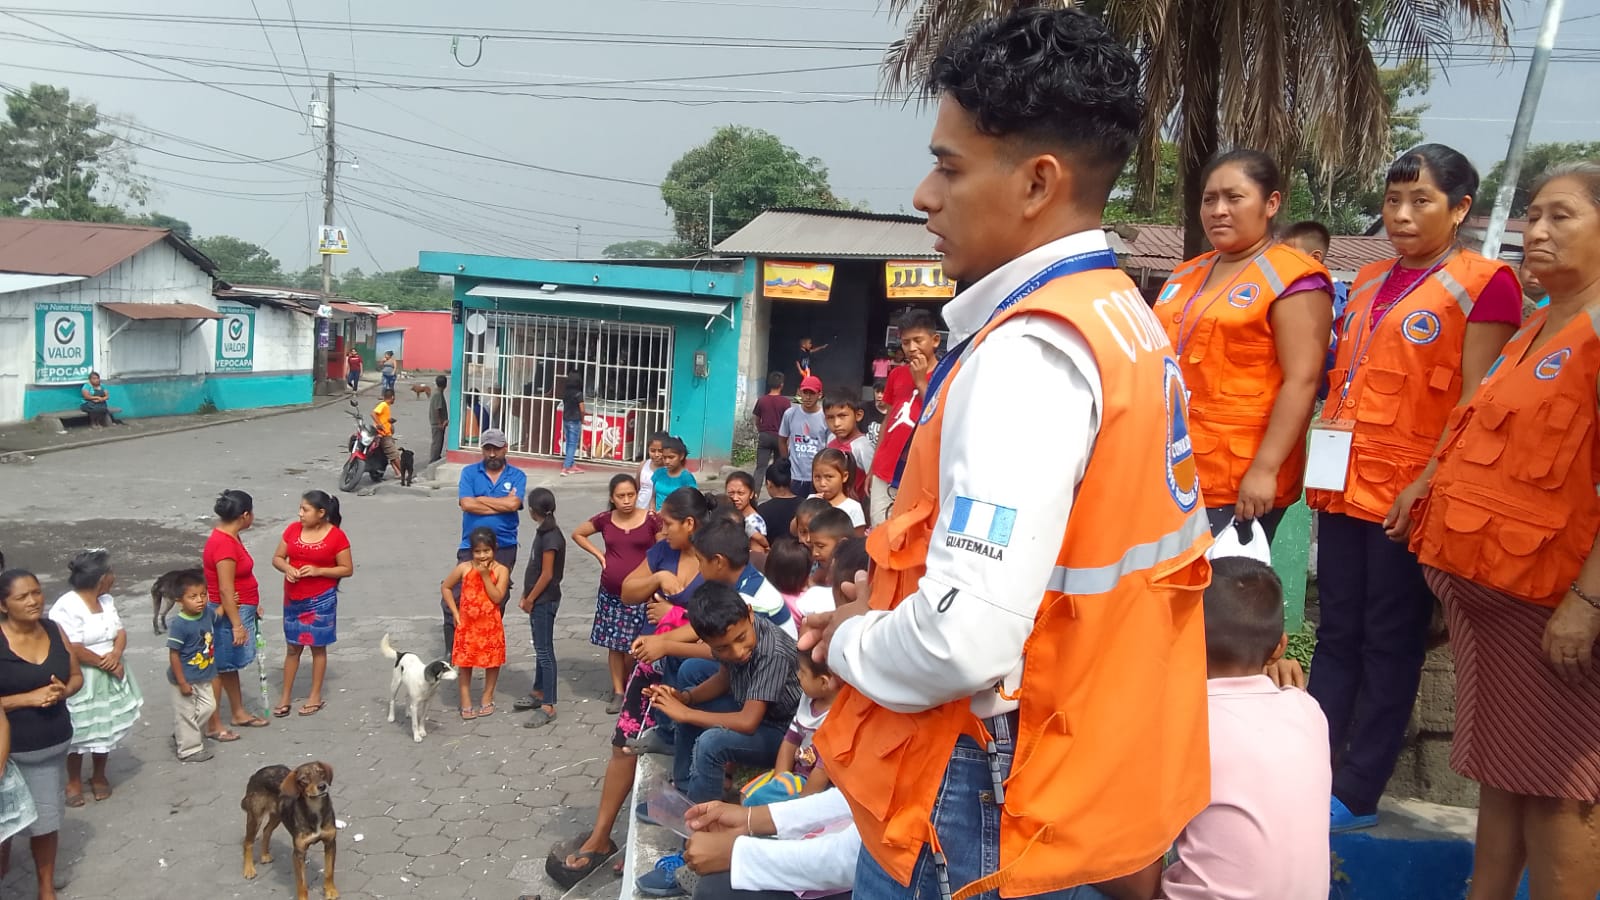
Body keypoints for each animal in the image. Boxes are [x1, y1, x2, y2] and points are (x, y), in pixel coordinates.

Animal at [241, 755, 339, 896]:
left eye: (321, 772)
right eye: (303, 779)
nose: (322, 786)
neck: (315, 809)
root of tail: (257, 773)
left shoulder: (330, 843)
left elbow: (329, 871)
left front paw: (330, 891)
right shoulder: (298, 853)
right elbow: (301, 884)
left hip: (277, 815)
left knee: (266, 831)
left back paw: (264, 855)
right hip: (255, 817)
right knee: (248, 842)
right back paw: (249, 869)